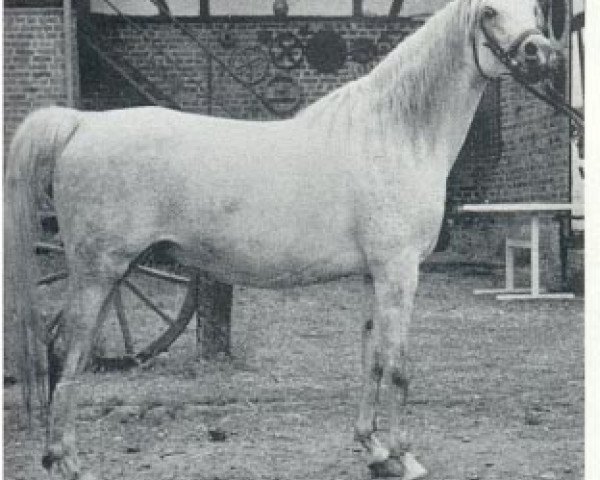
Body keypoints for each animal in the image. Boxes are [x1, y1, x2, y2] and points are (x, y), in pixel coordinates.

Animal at [3, 1, 556, 478]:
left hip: (110, 275)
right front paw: (405, 457)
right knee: (67, 353)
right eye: (489, 12)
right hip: (100, 272)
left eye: (535, 9)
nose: (541, 55)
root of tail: (80, 123)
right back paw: (68, 463)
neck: (395, 133)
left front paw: (374, 450)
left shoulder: (373, 275)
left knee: (67, 351)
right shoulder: (399, 270)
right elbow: (398, 365)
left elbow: (373, 357)